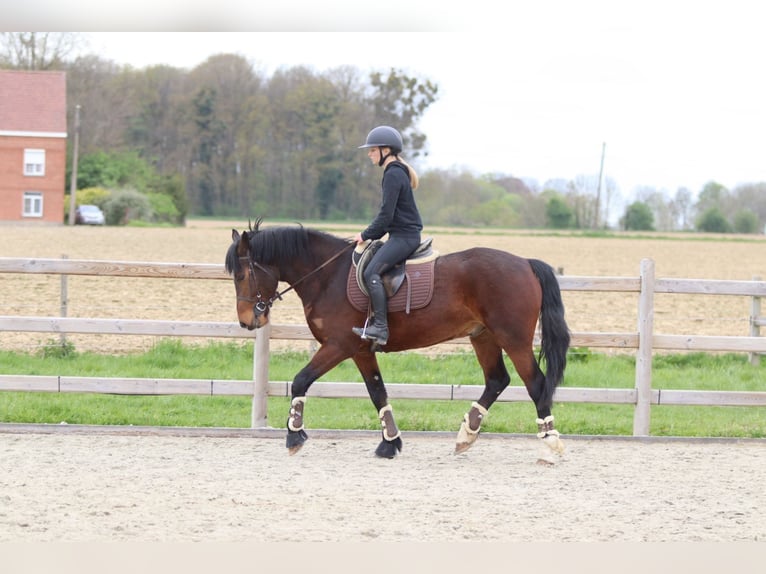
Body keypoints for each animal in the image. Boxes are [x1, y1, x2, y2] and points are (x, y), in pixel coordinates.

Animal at [225, 219, 571, 461]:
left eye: (242, 275)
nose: (246, 321)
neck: (327, 276)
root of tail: (525, 263)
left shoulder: (338, 346)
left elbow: (300, 381)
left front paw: (294, 437)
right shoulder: (361, 350)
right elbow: (378, 392)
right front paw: (389, 443)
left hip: (513, 339)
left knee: (536, 384)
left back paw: (549, 444)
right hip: (483, 336)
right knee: (497, 380)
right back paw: (465, 436)